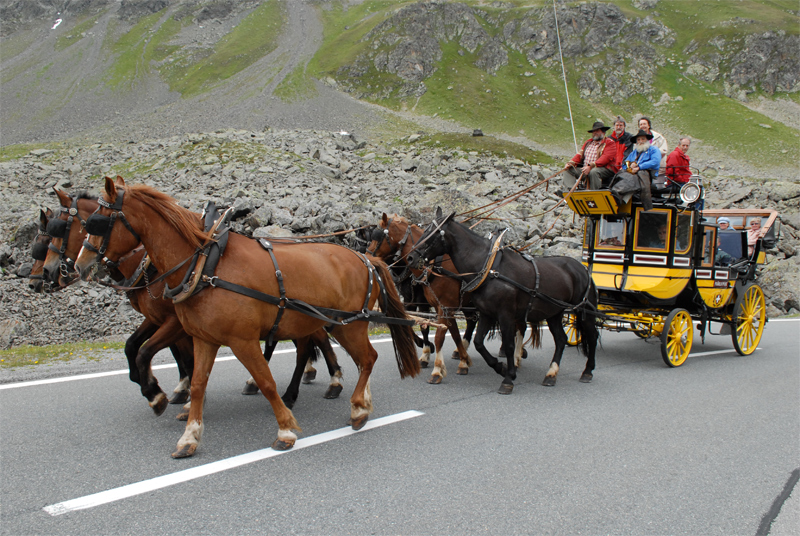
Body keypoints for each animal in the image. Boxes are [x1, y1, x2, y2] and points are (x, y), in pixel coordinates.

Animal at [76, 178, 422, 458]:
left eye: (97, 221)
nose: (80, 265)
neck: (205, 265)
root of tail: (364, 257)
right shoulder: (203, 338)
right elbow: (198, 384)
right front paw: (189, 436)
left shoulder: (242, 340)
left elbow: (266, 381)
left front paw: (285, 429)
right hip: (328, 324)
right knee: (357, 359)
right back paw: (360, 401)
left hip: (351, 324)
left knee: (367, 358)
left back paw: (357, 408)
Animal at [368, 211, 476, 384]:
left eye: (377, 236)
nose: (366, 256)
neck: (430, 265)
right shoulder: (413, 302)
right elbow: (419, 325)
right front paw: (427, 351)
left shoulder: (438, 305)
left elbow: (437, 332)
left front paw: (433, 360)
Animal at [410, 208, 596, 394]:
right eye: (424, 230)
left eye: (433, 233)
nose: (411, 257)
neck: (490, 269)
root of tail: (582, 268)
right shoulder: (486, 313)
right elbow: (478, 343)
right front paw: (501, 368)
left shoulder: (505, 314)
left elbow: (508, 345)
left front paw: (508, 378)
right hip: (554, 313)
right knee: (561, 339)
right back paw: (551, 374)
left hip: (583, 311)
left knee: (592, 335)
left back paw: (587, 371)